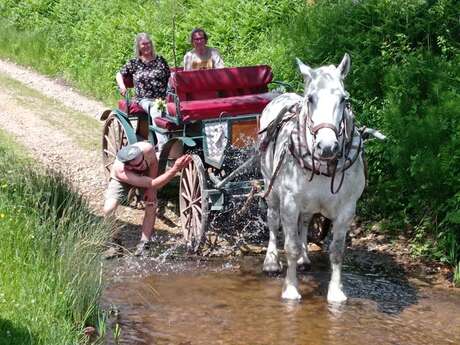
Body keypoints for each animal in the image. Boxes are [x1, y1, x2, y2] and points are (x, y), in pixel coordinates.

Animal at [260, 53, 364, 300]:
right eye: (310, 99)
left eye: (343, 99)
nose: (327, 146)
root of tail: (281, 95)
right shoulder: (289, 203)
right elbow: (290, 246)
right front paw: (290, 289)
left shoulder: (347, 208)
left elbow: (336, 251)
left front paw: (336, 292)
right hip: (271, 187)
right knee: (272, 220)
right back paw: (271, 262)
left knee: (305, 221)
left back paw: (304, 258)